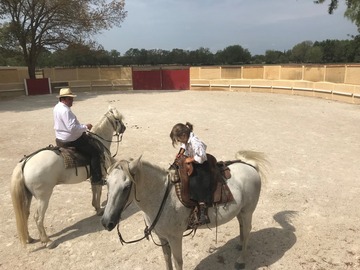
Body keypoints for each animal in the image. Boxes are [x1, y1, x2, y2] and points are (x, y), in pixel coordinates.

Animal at [11, 105, 126, 247]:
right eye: (118, 119)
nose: (124, 128)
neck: (99, 142)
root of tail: (26, 162)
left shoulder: (94, 177)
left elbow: (94, 191)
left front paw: (95, 207)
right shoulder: (100, 175)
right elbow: (98, 192)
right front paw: (99, 210)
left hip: (28, 196)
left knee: (25, 214)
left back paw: (29, 238)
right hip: (43, 197)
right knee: (38, 217)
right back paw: (47, 241)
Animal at [100, 151, 268, 268]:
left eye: (127, 186)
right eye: (106, 182)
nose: (106, 222)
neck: (162, 196)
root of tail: (250, 166)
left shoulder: (175, 238)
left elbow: (178, 261)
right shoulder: (162, 238)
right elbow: (167, 259)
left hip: (247, 211)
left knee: (247, 230)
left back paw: (241, 260)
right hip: (240, 211)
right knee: (242, 227)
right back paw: (240, 244)